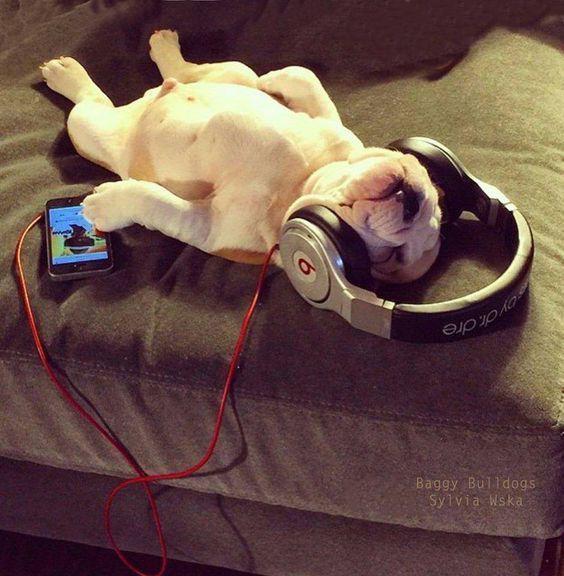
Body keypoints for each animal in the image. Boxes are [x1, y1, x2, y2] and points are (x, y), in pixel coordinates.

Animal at [41, 30, 442, 282]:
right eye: (433, 190)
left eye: (392, 257)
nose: (414, 203)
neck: (299, 184)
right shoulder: (334, 130)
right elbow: (307, 79)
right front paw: (277, 80)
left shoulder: (209, 226)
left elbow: (155, 202)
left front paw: (108, 206)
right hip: (225, 74)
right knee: (217, 73)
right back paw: (167, 55)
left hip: (91, 129)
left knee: (90, 103)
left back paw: (68, 76)